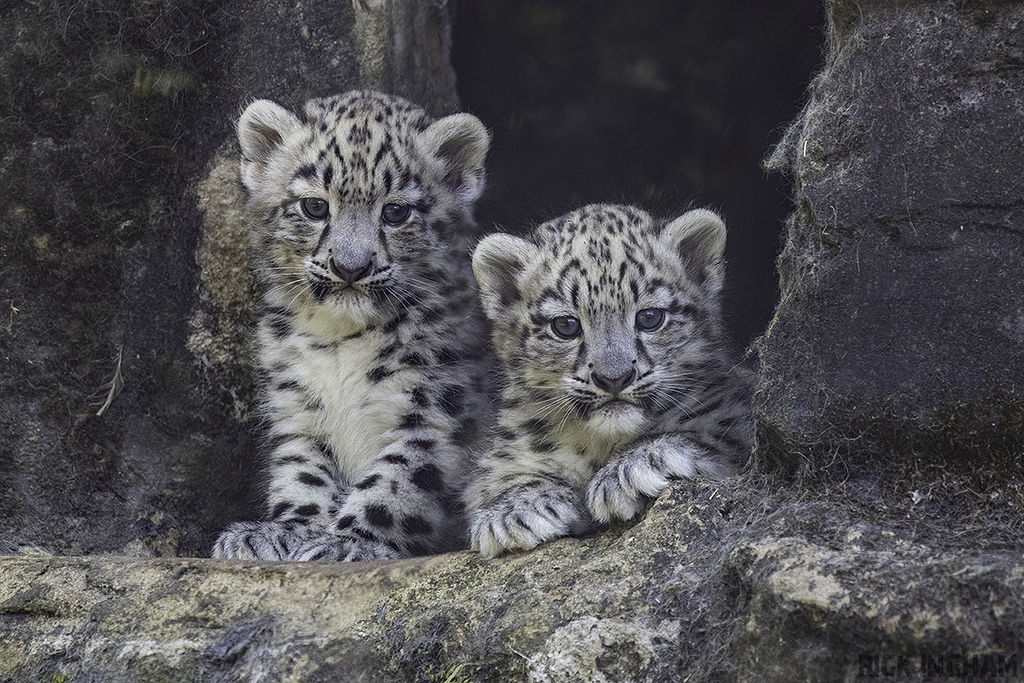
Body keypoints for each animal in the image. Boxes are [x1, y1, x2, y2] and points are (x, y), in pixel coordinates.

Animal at [212, 90, 493, 562]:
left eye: (395, 211)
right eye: (314, 206)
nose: (350, 267)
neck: (339, 339)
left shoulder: (434, 410)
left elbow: (398, 480)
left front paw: (351, 542)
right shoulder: (297, 407)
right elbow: (302, 470)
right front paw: (284, 531)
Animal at [465, 203, 754, 558]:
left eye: (650, 317)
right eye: (566, 325)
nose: (613, 378)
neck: (600, 445)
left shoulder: (733, 415)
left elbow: (709, 434)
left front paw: (634, 469)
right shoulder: (507, 452)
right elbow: (501, 474)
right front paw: (515, 512)